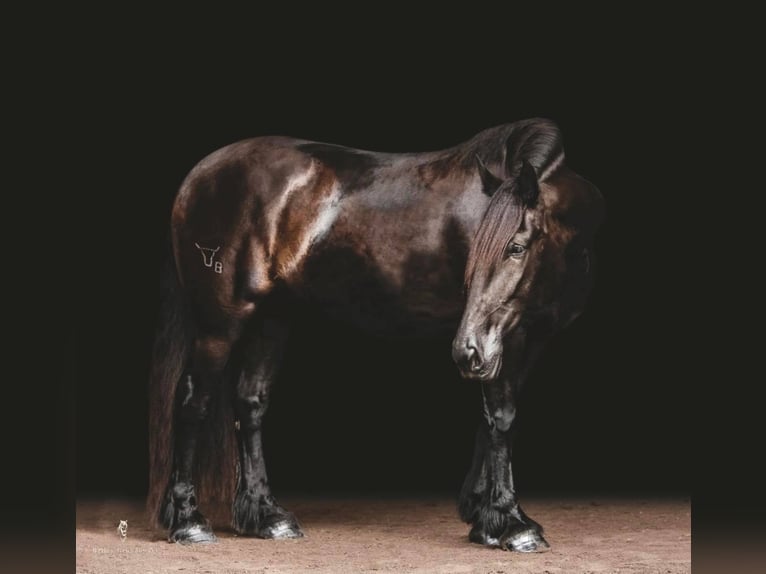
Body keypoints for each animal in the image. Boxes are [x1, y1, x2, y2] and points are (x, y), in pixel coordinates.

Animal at [148, 117, 608, 552]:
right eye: (476, 250)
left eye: (516, 247)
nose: (464, 351)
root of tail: (198, 175)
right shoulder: (502, 340)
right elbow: (502, 418)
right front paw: (511, 523)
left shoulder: (527, 339)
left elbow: (493, 420)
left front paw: (482, 513)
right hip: (220, 323)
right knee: (193, 401)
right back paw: (189, 522)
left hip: (273, 317)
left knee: (250, 403)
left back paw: (266, 516)